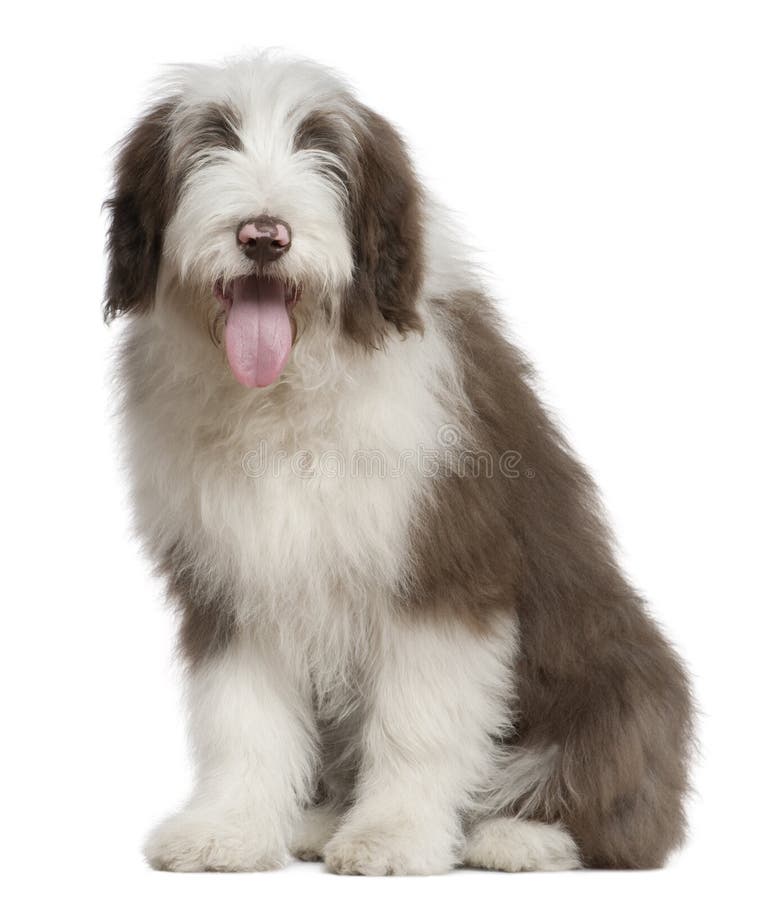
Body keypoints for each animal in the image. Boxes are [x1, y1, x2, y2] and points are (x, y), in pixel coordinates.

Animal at [103, 52, 692, 876]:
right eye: (210, 141)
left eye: (322, 147)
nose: (263, 236)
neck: (287, 396)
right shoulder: (233, 579)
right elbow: (241, 717)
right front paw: (228, 830)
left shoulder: (444, 568)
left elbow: (418, 723)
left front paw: (392, 837)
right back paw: (316, 820)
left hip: (622, 682)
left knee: (617, 811)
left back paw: (520, 837)